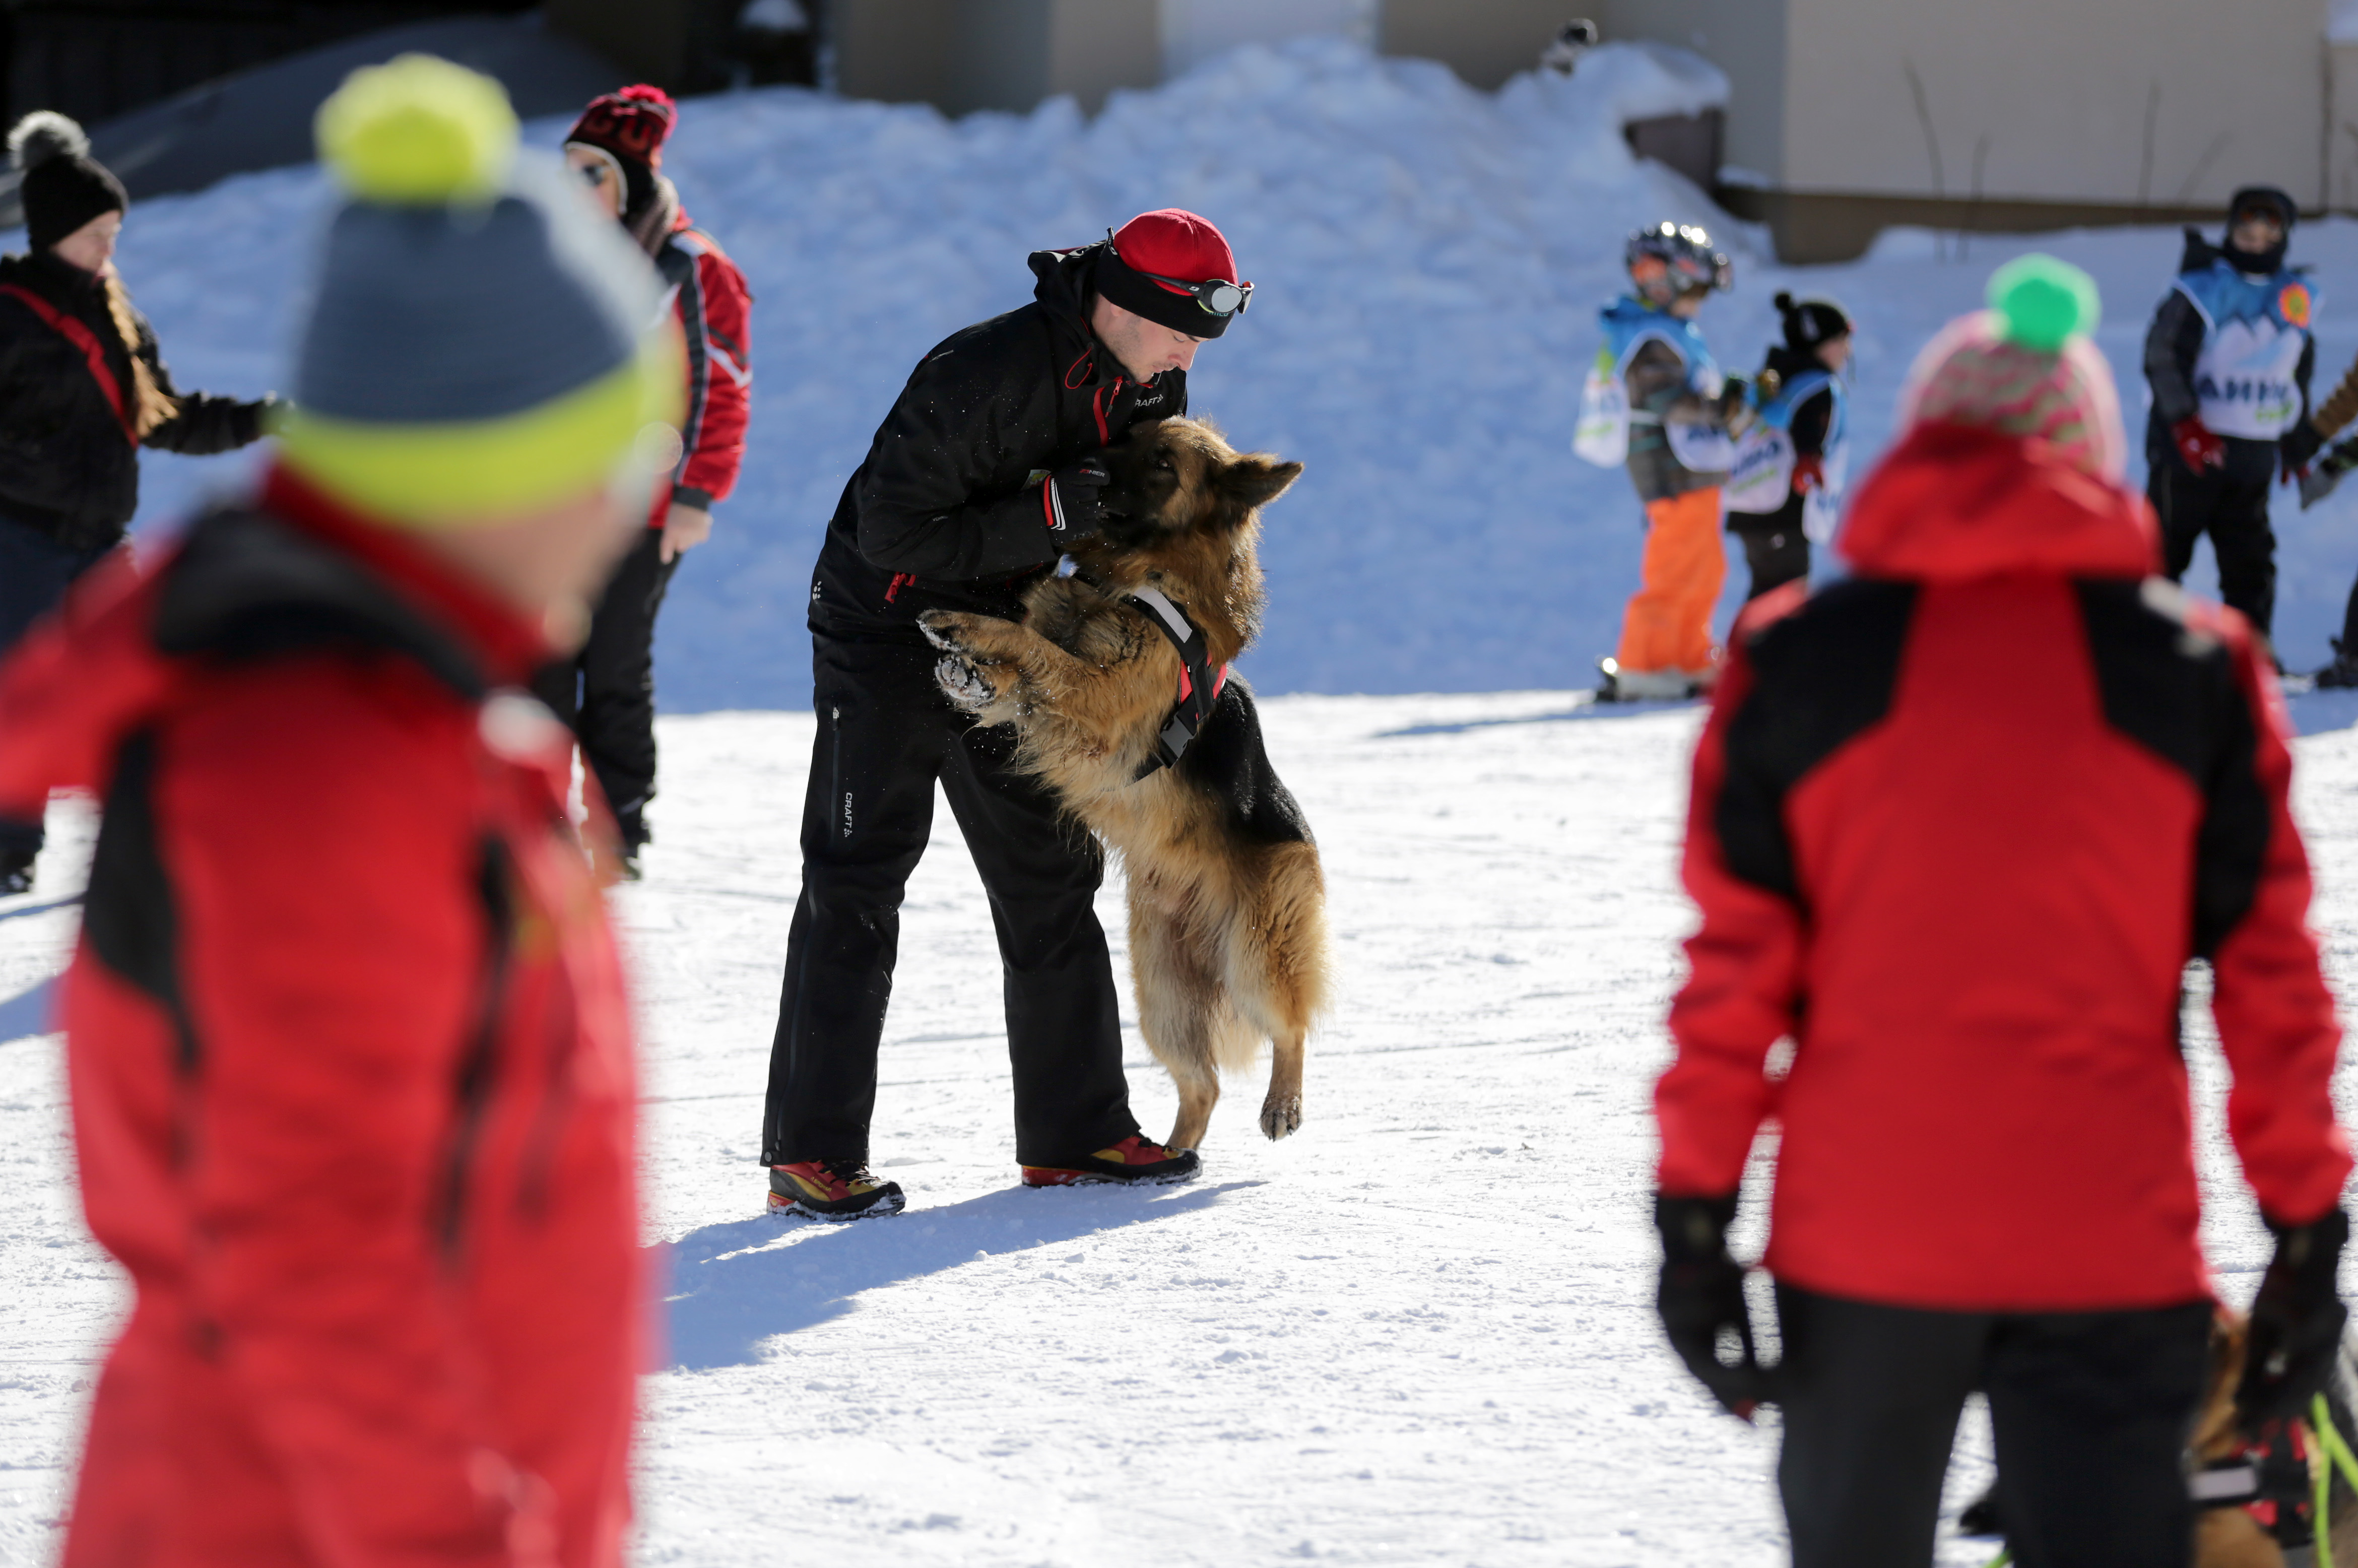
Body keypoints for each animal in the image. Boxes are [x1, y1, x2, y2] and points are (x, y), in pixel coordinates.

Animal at [914, 415, 1330, 1150]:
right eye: (1130, 432)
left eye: (1162, 461)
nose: (1079, 464)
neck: (1140, 575)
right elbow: (1026, 660)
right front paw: (971, 668)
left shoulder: (1099, 699)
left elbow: (1035, 650)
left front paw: (968, 627)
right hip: (1161, 994)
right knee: (1203, 1086)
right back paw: (1170, 1157)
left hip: (1256, 953)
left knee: (1291, 1026)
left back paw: (1284, 1101)